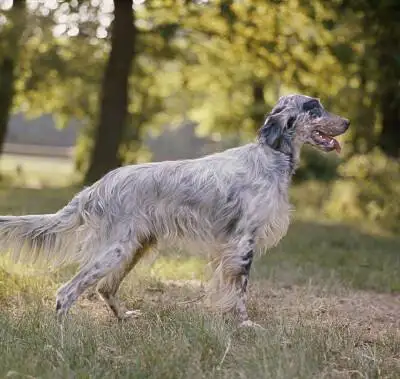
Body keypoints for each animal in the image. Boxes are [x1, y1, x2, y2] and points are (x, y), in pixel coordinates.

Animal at [0, 94, 348, 326]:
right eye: (314, 108)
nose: (347, 122)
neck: (270, 156)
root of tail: (97, 186)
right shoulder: (243, 243)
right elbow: (240, 291)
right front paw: (245, 324)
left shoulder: (229, 250)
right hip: (115, 249)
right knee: (67, 291)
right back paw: (64, 334)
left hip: (135, 247)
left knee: (105, 288)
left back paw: (125, 318)